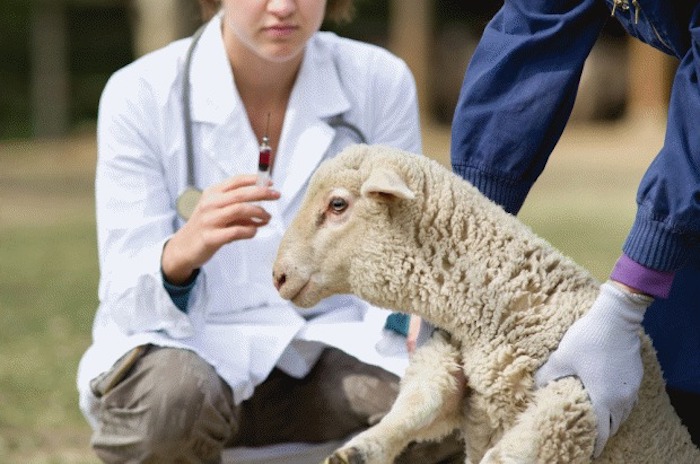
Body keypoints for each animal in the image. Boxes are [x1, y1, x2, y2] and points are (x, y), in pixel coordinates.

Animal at [272, 144, 700, 464]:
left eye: (337, 205)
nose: (277, 276)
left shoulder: (578, 401)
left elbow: (508, 453)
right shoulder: (451, 366)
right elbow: (418, 405)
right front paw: (360, 449)